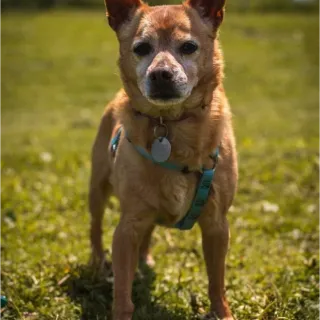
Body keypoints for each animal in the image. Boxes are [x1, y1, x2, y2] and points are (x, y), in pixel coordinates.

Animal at [89, 1, 238, 318]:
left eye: (189, 47)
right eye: (141, 48)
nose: (160, 74)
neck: (170, 126)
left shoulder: (217, 226)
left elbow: (216, 282)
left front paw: (223, 312)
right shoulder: (127, 228)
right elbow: (122, 292)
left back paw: (145, 259)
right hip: (97, 189)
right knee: (95, 227)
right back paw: (97, 261)